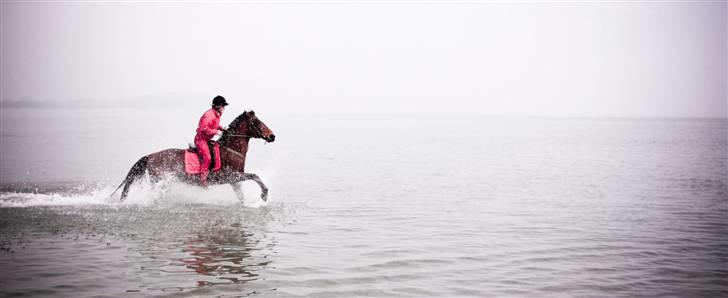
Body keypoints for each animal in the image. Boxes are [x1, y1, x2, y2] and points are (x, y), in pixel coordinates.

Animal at [112, 110, 274, 203]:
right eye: (257, 122)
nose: (272, 136)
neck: (230, 150)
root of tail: (150, 156)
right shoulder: (230, 175)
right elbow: (255, 176)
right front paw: (264, 195)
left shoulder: (234, 180)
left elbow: (241, 195)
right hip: (160, 180)